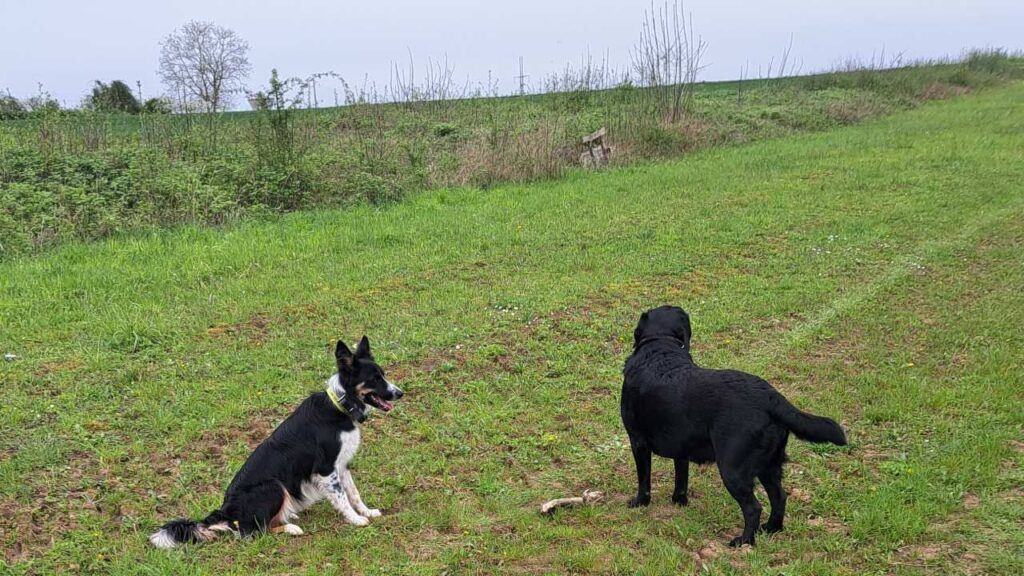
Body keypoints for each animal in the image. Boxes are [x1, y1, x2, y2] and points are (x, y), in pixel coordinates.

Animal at [149, 334, 401, 545]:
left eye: (383, 374)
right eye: (374, 379)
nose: (400, 393)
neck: (340, 406)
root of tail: (227, 511)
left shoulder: (343, 464)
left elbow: (354, 493)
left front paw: (366, 511)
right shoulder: (326, 469)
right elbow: (342, 498)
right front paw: (356, 520)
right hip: (274, 486)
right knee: (253, 531)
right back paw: (290, 528)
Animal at [614, 305, 847, 541]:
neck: (660, 345)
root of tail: (771, 397)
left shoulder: (638, 441)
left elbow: (644, 479)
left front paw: (640, 503)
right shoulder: (681, 447)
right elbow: (681, 479)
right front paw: (679, 502)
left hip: (733, 468)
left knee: (753, 507)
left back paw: (743, 541)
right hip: (769, 465)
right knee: (779, 497)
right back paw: (771, 529)